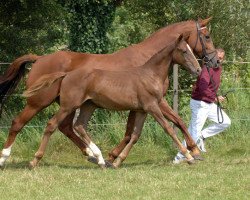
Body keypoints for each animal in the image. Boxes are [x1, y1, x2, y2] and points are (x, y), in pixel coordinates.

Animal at [0, 17, 217, 169]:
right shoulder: (155, 102)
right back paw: (5, 157)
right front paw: (194, 151)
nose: (215, 60)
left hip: (71, 104)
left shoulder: (140, 106)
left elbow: (134, 132)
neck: (148, 63)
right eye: (206, 37)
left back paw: (92, 155)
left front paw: (113, 157)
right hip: (39, 102)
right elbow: (173, 122)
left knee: (67, 127)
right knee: (20, 123)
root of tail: (39, 59)